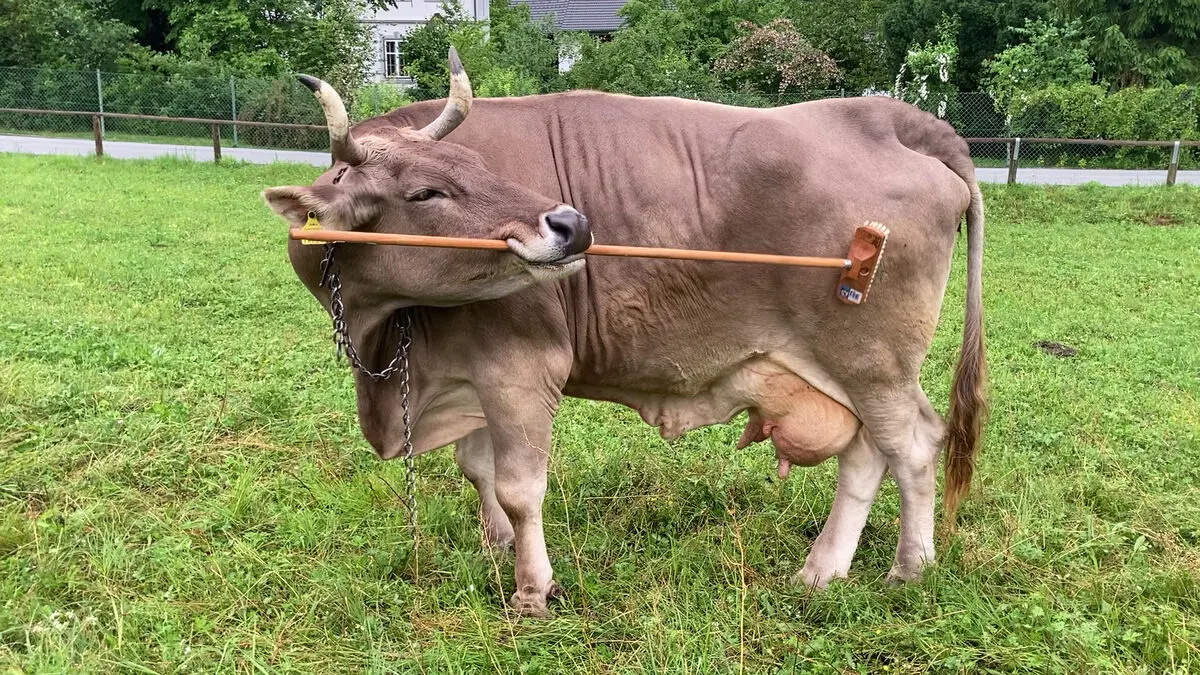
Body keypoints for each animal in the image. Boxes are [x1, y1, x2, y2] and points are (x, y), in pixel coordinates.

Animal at [263, 49, 986, 618]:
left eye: (480, 165)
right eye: (424, 193)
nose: (572, 223)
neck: (386, 338)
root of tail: (895, 119)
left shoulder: (520, 367)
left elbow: (520, 488)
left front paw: (532, 589)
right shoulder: (466, 371)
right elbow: (477, 468)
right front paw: (496, 546)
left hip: (873, 361)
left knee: (913, 445)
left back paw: (909, 568)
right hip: (847, 371)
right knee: (866, 452)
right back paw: (823, 569)